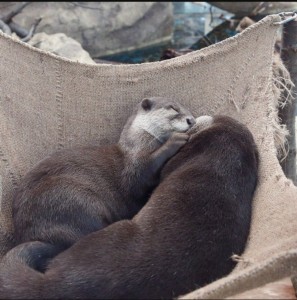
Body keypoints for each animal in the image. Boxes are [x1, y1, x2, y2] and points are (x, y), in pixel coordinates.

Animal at [10, 96, 194, 264]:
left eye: (189, 110)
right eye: (173, 108)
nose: (191, 120)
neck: (139, 143)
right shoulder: (134, 165)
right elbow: (144, 174)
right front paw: (176, 139)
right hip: (75, 200)